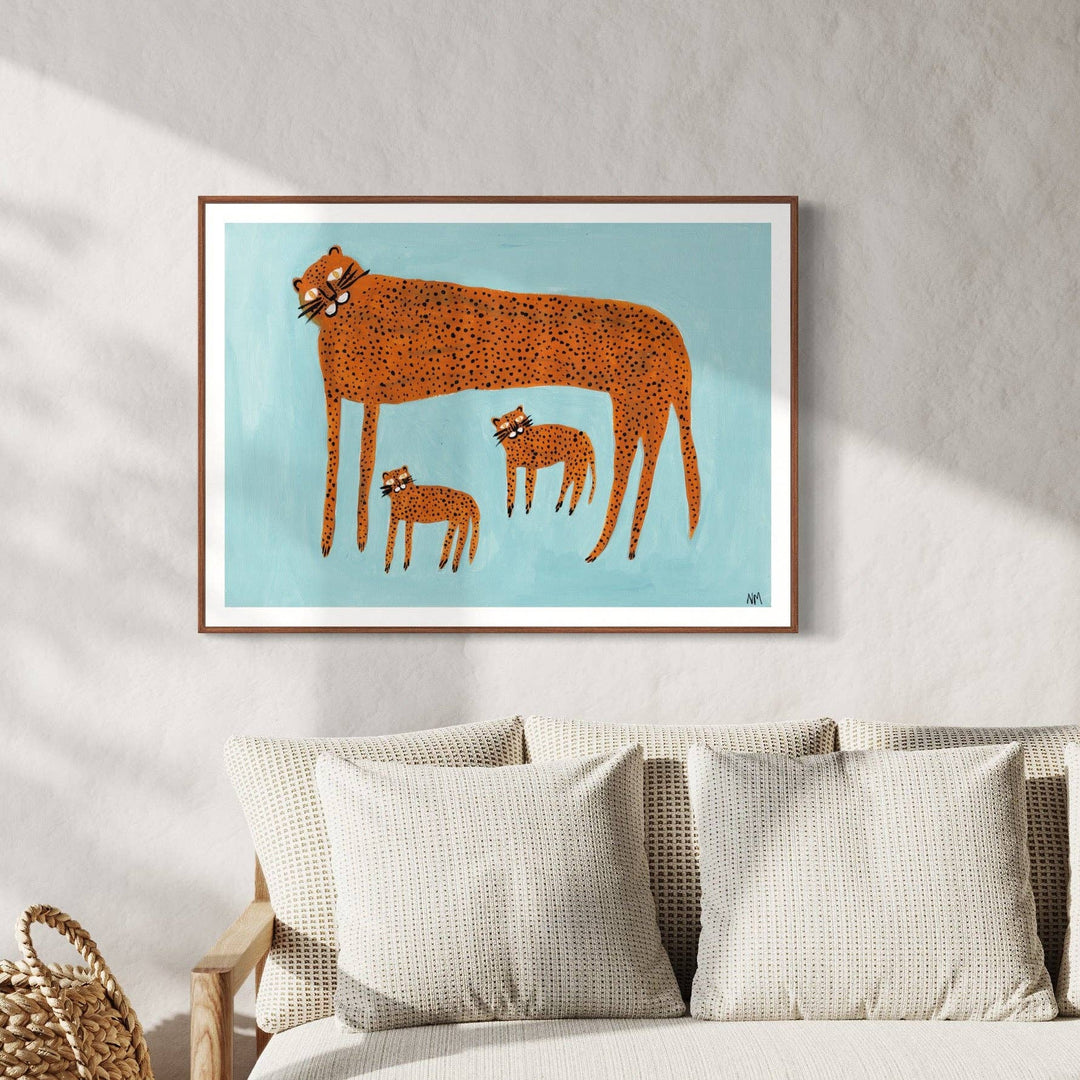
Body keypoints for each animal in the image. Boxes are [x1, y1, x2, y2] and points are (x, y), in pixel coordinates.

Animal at [294, 245, 700, 562]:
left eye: (334, 272)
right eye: (313, 287)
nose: (330, 291)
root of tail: (675, 334)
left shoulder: (370, 401)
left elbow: (362, 465)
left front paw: (359, 538)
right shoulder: (338, 399)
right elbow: (334, 468)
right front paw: (333, 539)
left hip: (640, 405)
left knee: (640, 462)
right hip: (636, 407)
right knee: (641, 461)